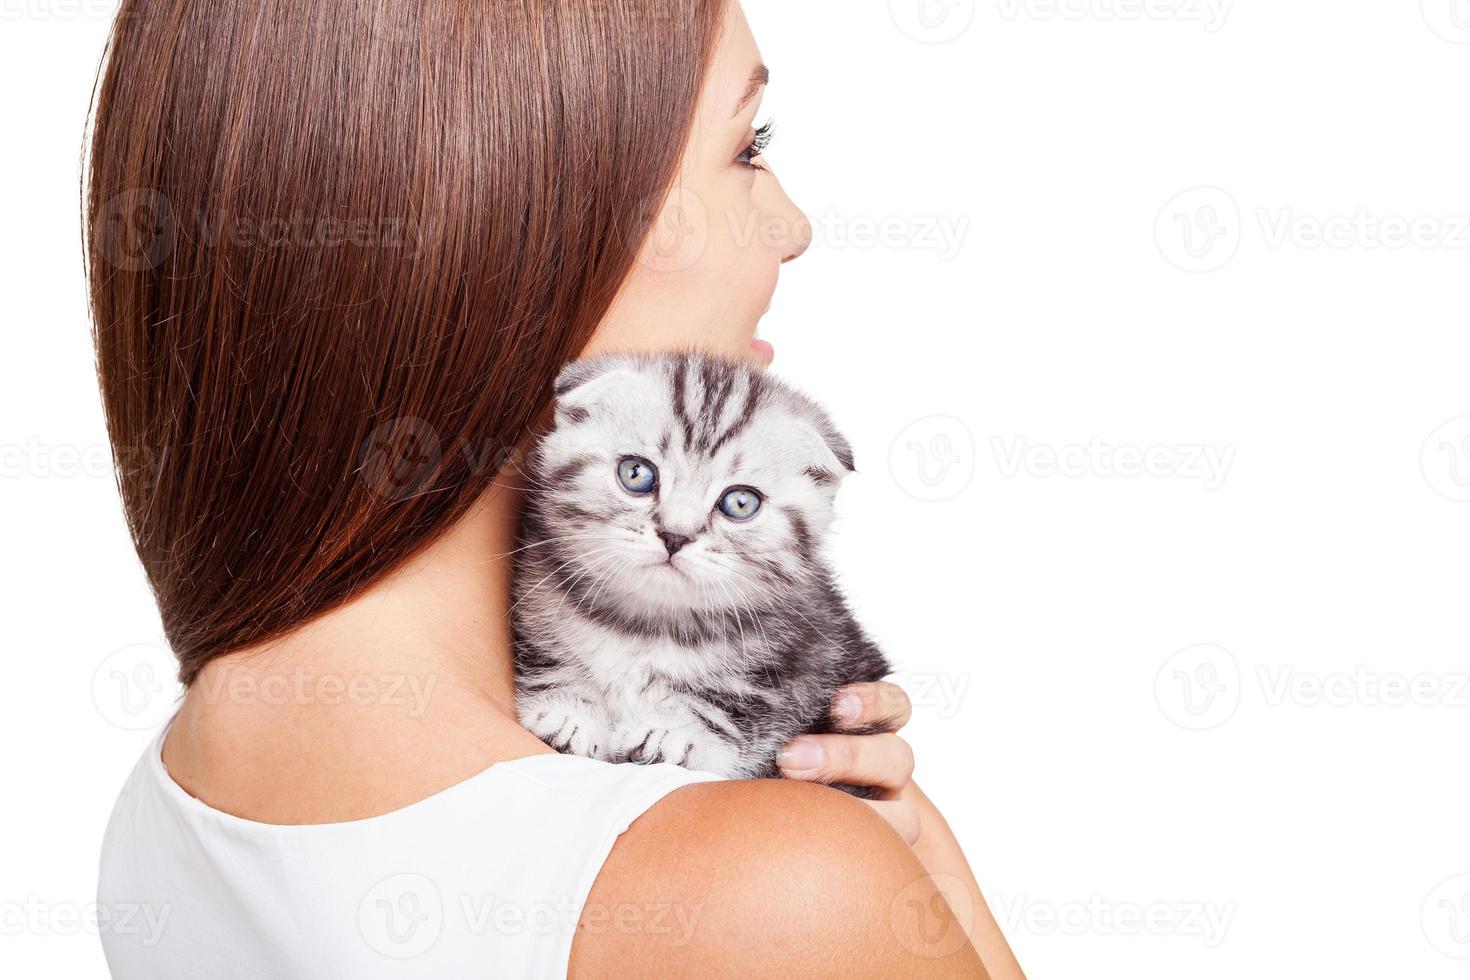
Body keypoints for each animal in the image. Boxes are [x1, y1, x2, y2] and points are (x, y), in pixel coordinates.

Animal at [511, 352, 887, 799]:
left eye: (740, 502)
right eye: (636, 474)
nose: (676, 535)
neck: (648, 624)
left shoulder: (812, 659)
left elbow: (731, 707)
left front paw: (676, 732)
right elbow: (552, 660)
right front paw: (570, 713)